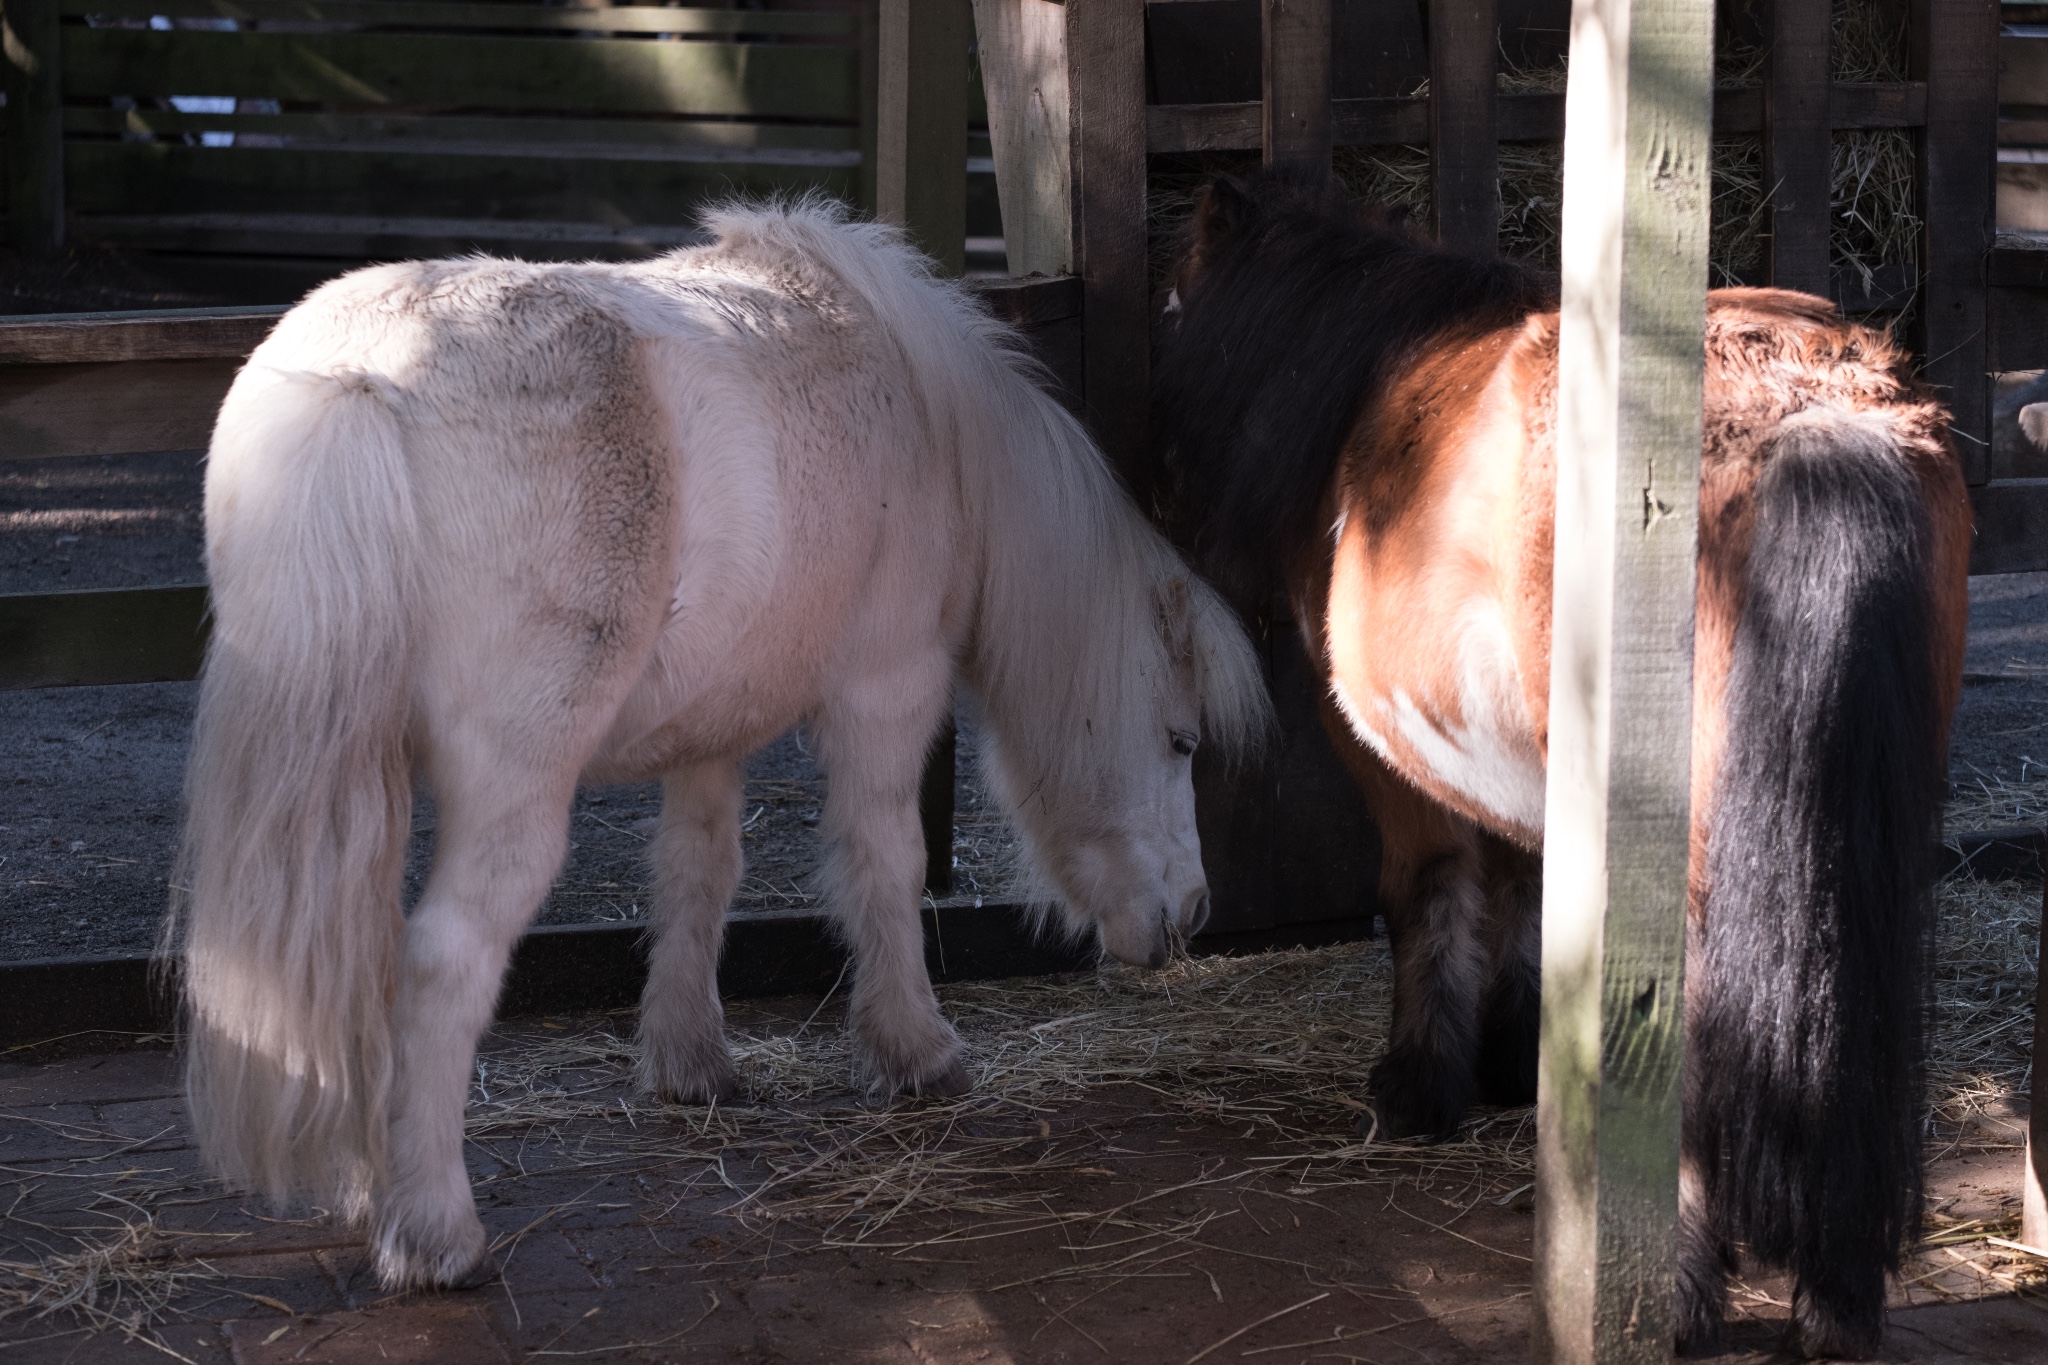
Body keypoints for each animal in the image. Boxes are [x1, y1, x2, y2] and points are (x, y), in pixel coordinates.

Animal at [172, 200, 1261, 1293]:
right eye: (1179, 741)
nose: (1193, 914)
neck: (927, 412)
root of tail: (361, 379)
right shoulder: (888, 687)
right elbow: (887, 864)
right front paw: (915, 1049)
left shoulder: (709, 729)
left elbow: (698, 872)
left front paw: (690, 1062)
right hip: (513, 791)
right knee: (439, 963)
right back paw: (435, 1231)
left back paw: (378, 1188)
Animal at [1155, 175, 1966, 1358]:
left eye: (1173, 306)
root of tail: (1812, 407)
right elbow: (1523, 895)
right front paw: (1510, 1058)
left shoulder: (1391, 768)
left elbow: (1430, 895)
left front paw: (1422, 1085)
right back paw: (1832, 1300)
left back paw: (1675, 1290)